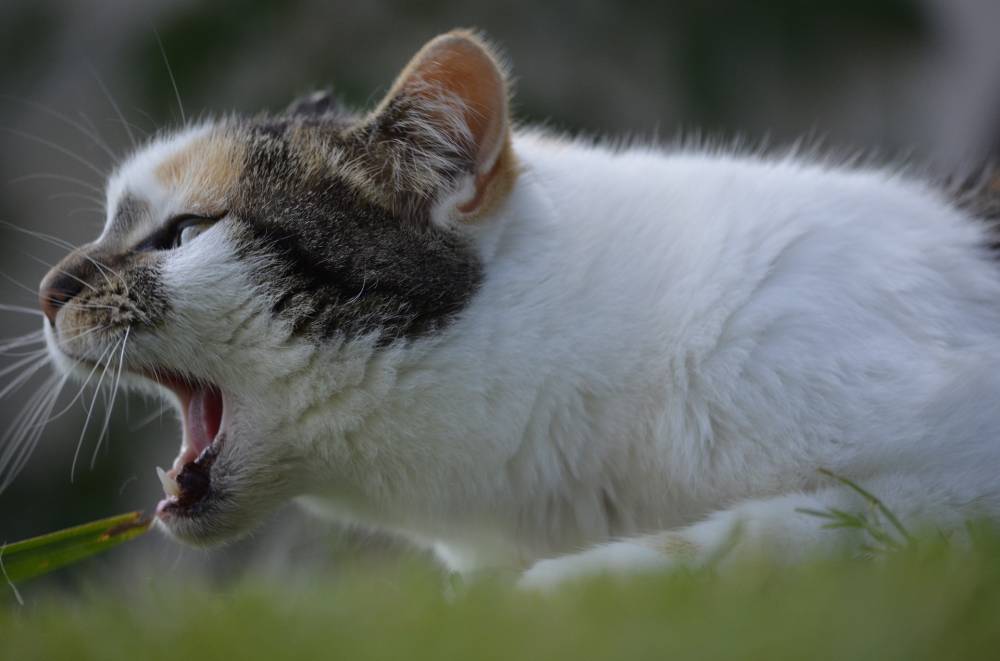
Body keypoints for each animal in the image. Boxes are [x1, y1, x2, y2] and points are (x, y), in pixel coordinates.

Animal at [27, 29, 1000, 588]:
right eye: (111, 221)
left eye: (185, 232)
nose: (47, 290)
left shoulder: (952, 471)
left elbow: (760, 532)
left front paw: (554, 589)